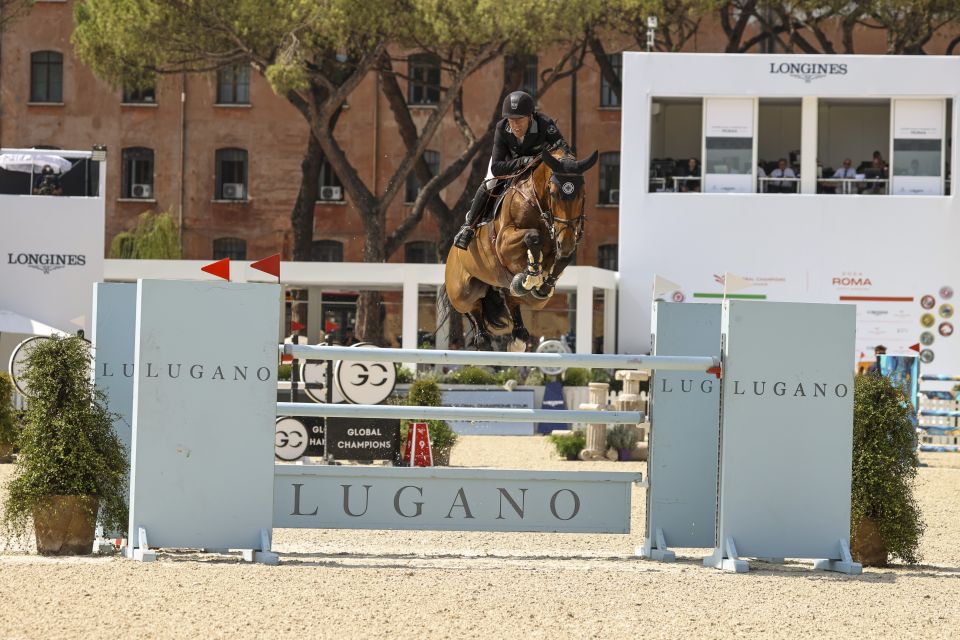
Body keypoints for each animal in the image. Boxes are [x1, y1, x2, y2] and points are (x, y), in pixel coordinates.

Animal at [444, 148, 600, 350]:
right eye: (553, 193)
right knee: (475, 311)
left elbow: (562, 258)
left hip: (516, 295)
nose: (565, 243)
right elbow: (532, 236)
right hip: (462, 292)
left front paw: (542, 284)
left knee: (514, 310)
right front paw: (532, 274)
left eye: (582, 194)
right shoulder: (503, 243)